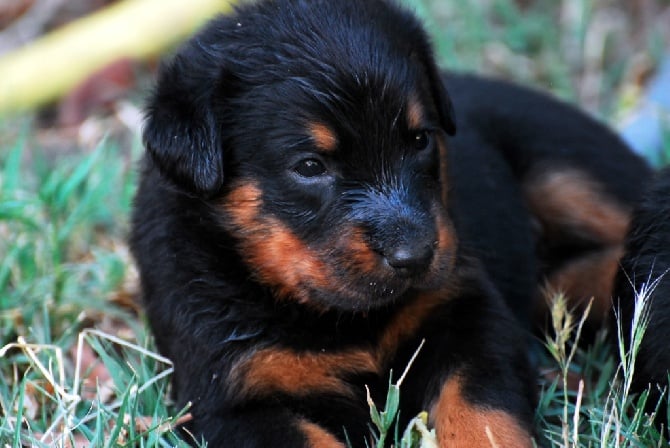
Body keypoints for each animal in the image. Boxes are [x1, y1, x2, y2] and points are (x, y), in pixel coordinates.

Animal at [130, 0, 652, 444]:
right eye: (309, 166)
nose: (415, 256)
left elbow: (482, 412)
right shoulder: (234, 399)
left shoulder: (468, 313)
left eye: (420, 140)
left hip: (569, 170)